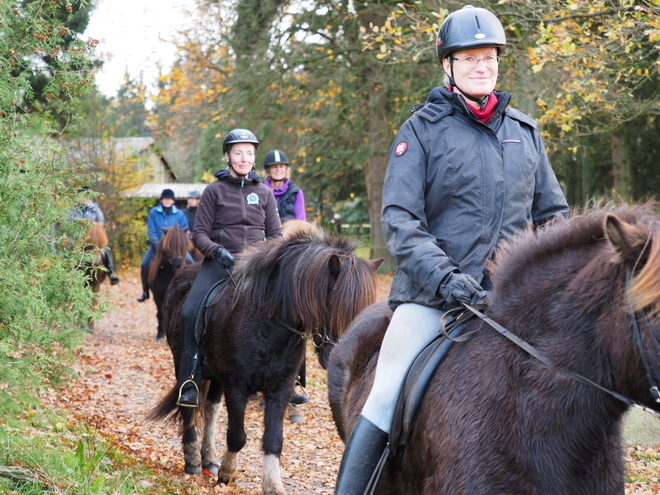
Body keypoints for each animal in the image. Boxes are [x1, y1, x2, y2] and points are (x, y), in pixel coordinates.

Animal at [150, 224, 382, 495]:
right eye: (333, 302)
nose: (339, 356)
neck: (269, 323)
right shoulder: (237, 385)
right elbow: (237, 436)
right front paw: (228, 473)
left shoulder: (280, 388)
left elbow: (273, 440)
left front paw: (272, 485)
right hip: (184, 365)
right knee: (189, 405)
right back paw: (194, 460)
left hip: (215, 375)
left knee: (211, 408)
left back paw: (209, 459)